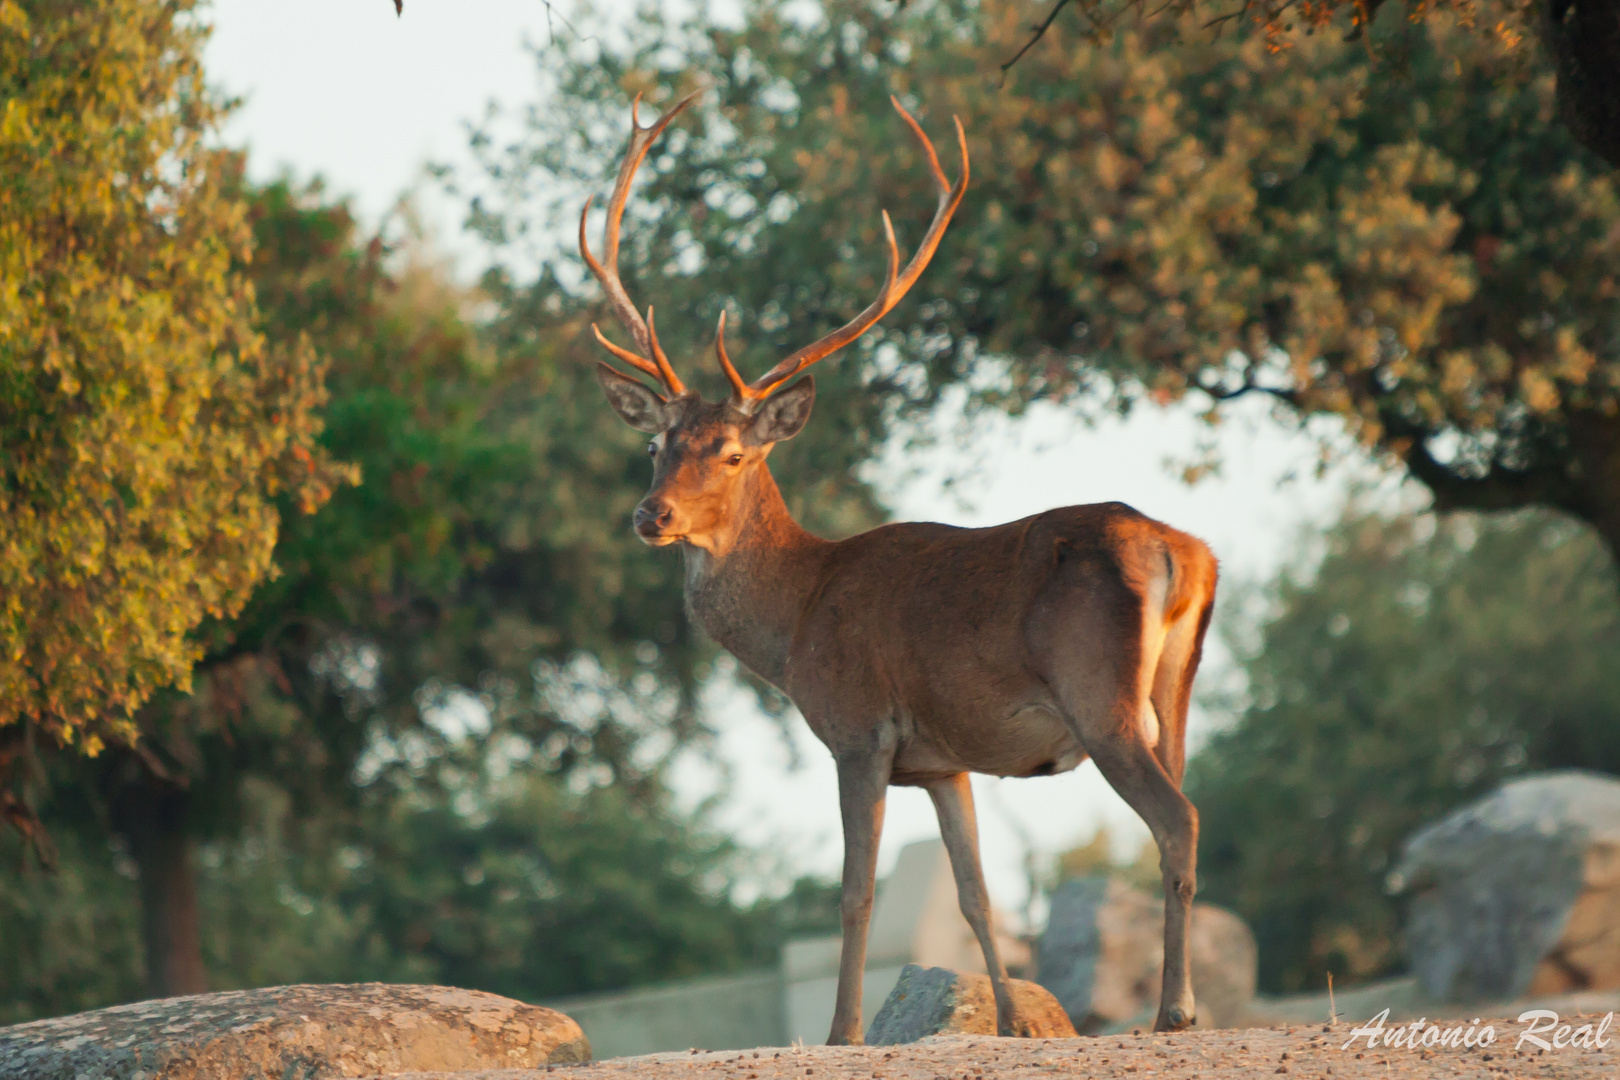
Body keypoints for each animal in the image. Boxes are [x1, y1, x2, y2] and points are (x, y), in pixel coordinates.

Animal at [576, 90, 1218, 1049]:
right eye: (657, 445)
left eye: (732, 454)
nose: (651, 516)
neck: (795, 622)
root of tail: (1183, 552)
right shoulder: (947, 761)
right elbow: (976, 894)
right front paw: (1012, 1024)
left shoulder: (859, 729)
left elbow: (855, 894)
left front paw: (843, 1031)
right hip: (1174, 688)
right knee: (1187, 804)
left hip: (1097, 692)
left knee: (1177, 818)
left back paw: (1175, 1008)